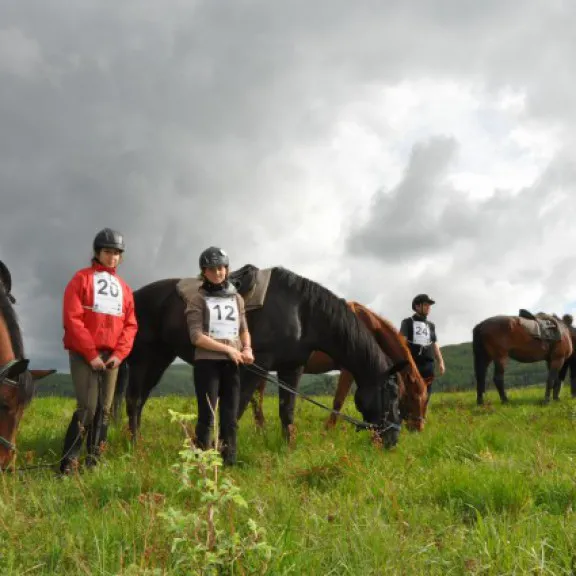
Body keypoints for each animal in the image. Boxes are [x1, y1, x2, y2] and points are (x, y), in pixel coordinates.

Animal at [119, 266, 408, 450]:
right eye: (392, 394)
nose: (394, 439)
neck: (302, 312)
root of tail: (135, 296)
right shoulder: (254, 366)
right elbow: (238, 408)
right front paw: (222, 450)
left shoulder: (292, 368)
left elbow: (286, 410)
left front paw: (288, 447)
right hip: (144, 360)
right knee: (133, 400)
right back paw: (134, 446)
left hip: (160, 359)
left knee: (140, 400)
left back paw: (137, 441)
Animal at [250, 302, 430, 432]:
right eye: (413, 397)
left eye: (425, 400)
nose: (419, 428)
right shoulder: (349, 370)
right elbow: (339, 400)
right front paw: (328, 429)